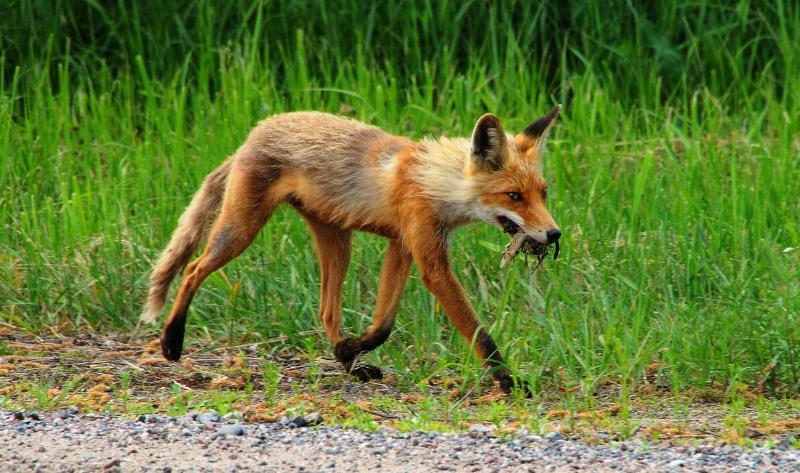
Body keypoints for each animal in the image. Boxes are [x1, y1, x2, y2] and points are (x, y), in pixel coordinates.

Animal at [141, 107, 562, 394]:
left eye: (542, 193)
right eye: (513, 196)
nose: (554, 234)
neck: (434, 181)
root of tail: (255, 132)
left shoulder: (401, 246)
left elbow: (384, 325)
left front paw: (350, 350)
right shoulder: (430, 260)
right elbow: (479, 333)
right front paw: (511, 382)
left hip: (337, 241)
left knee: (327, 309)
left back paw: (349, 363)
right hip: (240, 231)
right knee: (192, 269)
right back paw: (171, 341)